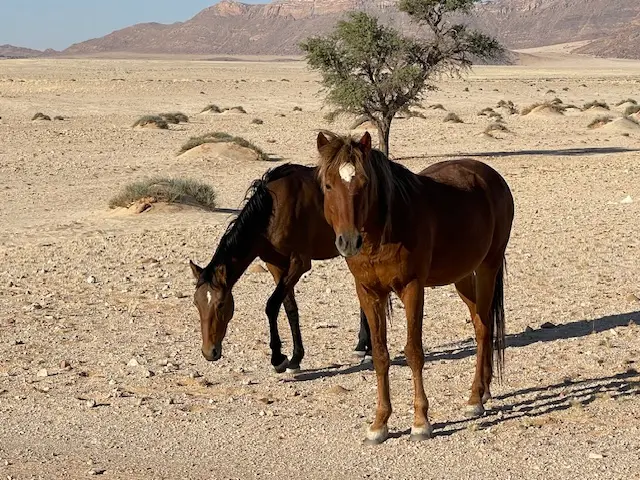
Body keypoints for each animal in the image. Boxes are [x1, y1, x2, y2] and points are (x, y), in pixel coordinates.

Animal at [189, 163, 371, 374]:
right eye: (196, 303)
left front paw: (278, 358)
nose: (209, 352)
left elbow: (272, 305)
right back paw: (361, 346)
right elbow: (289, 307)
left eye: (219, 304)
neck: (272, 212)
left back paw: (368, 350)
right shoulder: (275, 265)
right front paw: (295, 358)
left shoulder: (299, 263)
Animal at [316, 131, 514, 444]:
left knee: (484, 328)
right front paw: (379, 424)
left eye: (364, 182)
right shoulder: (368, 292)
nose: (348, 241)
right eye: (328, 184)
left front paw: (421, 422)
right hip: (462, 276)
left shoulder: (412, 288)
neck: (384, 233)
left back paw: (475, 398)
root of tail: (492, 176)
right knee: (480, 323)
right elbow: (380, 355)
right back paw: (484, 389)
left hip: (488, 267)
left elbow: (413, 352)